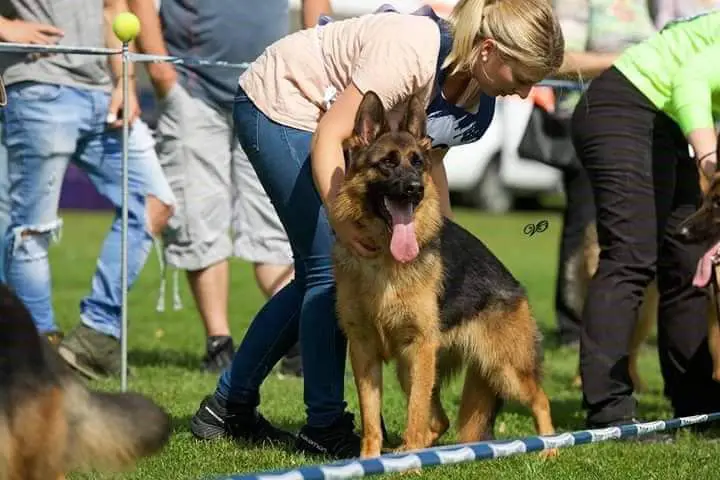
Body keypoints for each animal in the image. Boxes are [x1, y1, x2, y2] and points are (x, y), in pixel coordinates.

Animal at [330, 92, 556, 460]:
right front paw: (370, 461)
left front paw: (409, 463)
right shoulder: (364, 352)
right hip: (412, 368)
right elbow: (372, 421)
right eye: (387, 163)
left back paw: (550, 448)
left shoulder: (419, 347)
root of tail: (514, 286)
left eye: (418, 163)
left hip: (502, 369)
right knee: (439, 421)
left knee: (540, 399)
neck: (384, 260)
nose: (414, 190)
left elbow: (415, 414)